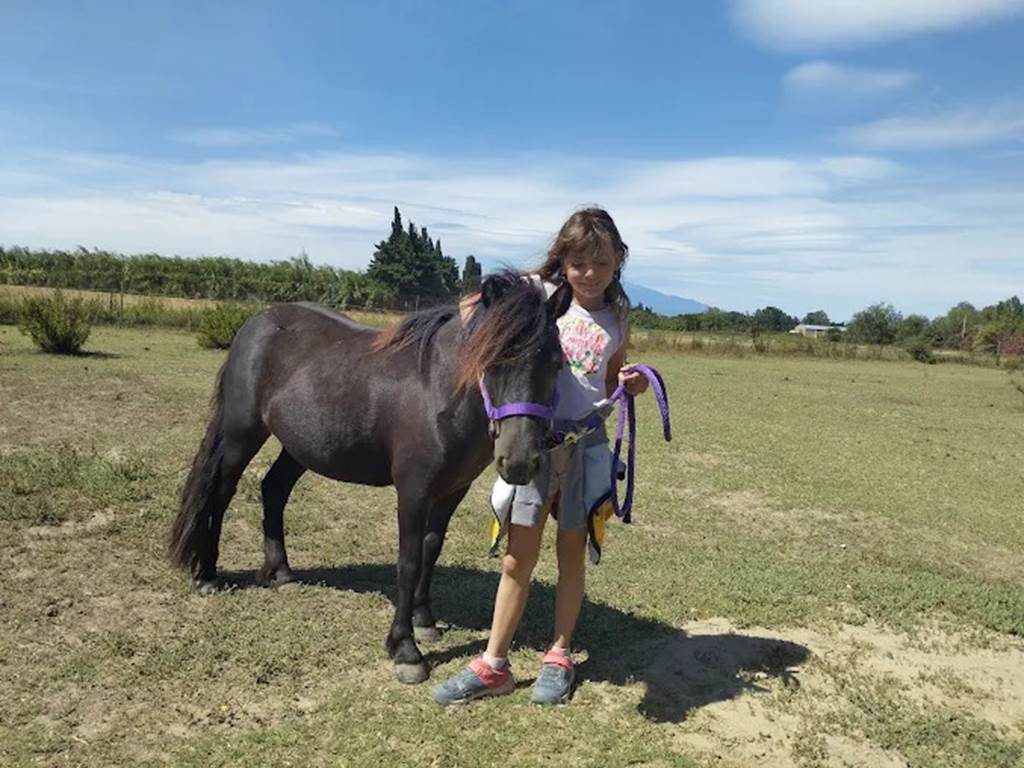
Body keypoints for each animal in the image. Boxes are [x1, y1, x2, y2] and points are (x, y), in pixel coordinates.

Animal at [169, 271, 571, 684]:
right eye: (491, 359)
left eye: (556, 362)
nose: (519, 461)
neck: (438, 390)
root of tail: (257, 323)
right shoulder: (413, 490)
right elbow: (408, 560)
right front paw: (406, 649)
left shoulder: (452, 491)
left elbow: (431, 547)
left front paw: (424, 620)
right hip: (241, 435)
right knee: (221, 494)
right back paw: (208, 575)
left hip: (299, 447)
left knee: (274, 489)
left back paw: (280, 571)